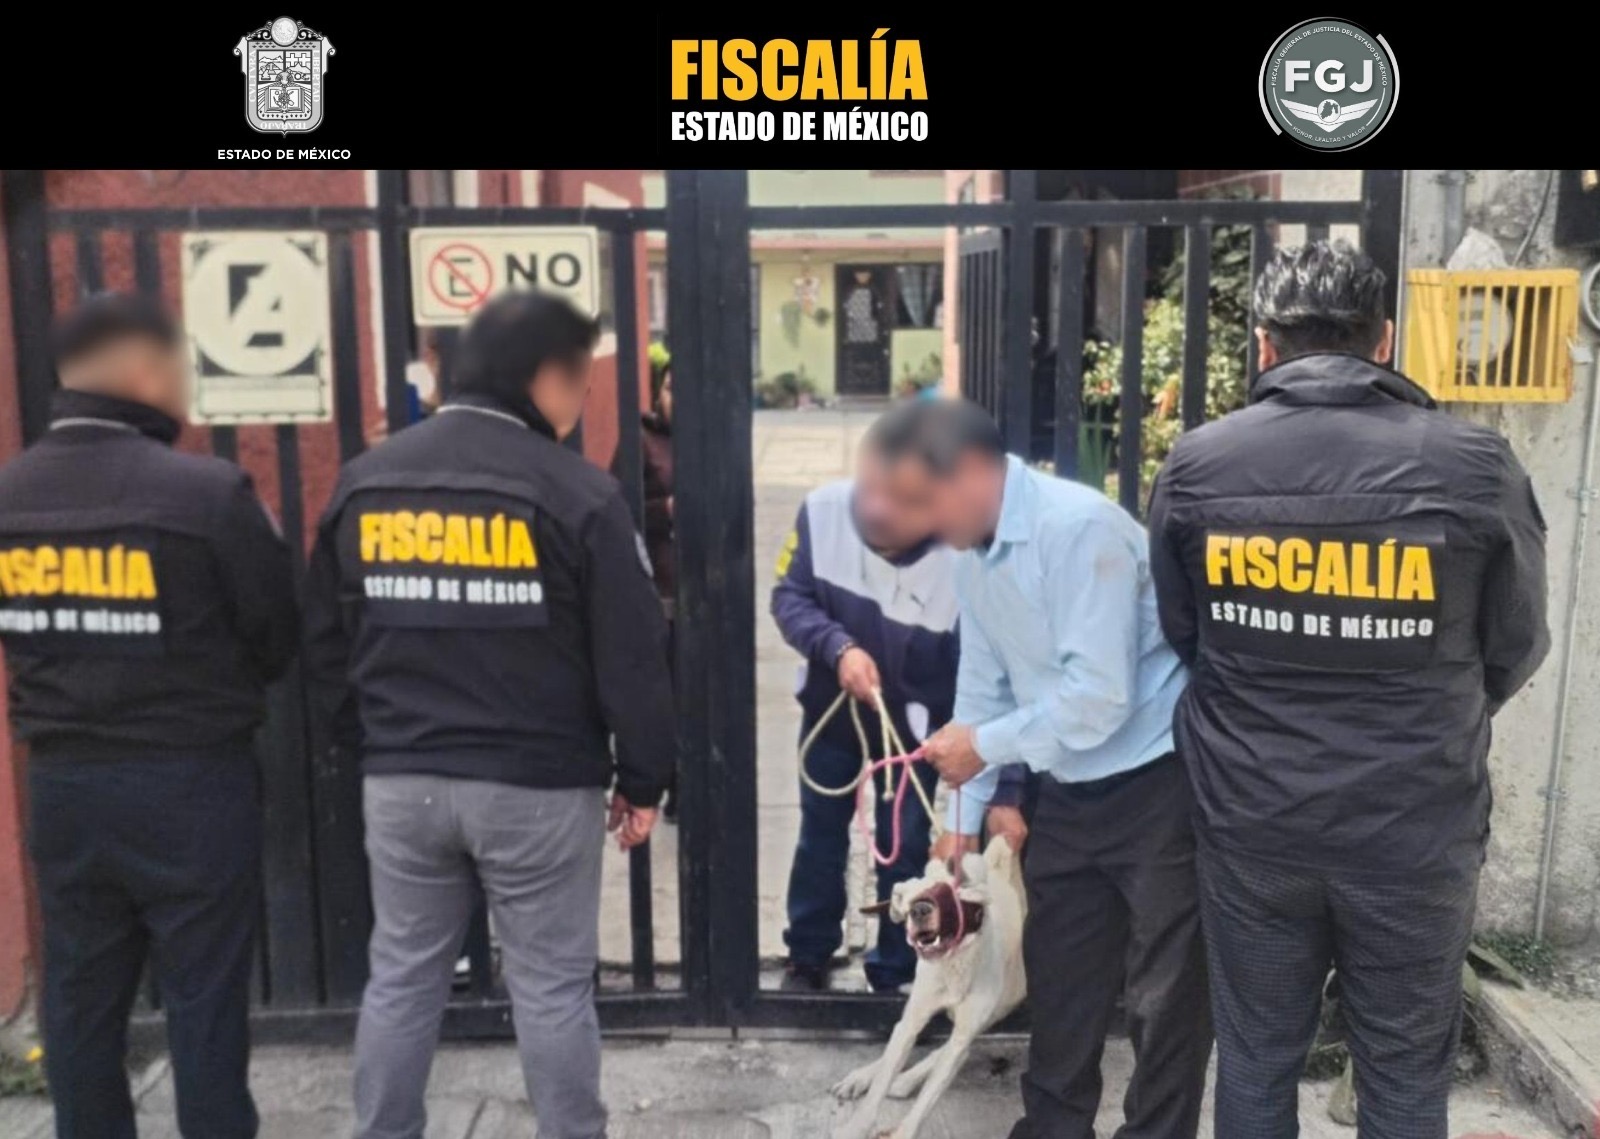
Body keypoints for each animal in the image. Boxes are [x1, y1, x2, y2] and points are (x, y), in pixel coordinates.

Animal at [832, 836, 1027, 1139]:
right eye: (912, 900)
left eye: (952, 897)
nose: (920, 910)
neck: (955, 966)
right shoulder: (911, 1022)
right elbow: (881, 1082)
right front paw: (856, 1127)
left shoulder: (963, 1036)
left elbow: (927, 1099)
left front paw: (902, 1131)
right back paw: (868, 1076)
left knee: (950, 1051)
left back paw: (904, 1080)